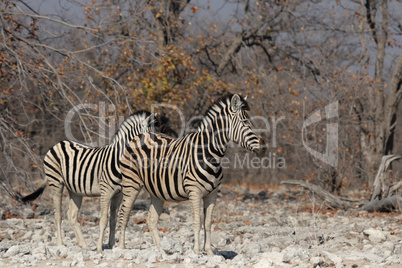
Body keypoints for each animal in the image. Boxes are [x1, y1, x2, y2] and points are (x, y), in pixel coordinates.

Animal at [21, 110, 171, 252]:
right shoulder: (106, 191)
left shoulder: (118, 194)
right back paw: (60, 244)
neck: (119, 161)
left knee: (71, 215)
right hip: (56, 182)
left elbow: (113, 220)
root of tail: (60, 143)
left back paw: (83, 244)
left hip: (75, 190)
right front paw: (100, 248)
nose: (162, 153)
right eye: (152, 137)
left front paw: (111, 245)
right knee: (58, 214)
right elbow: (103, 220)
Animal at [118, 94, 266, 255]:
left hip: (156, 190)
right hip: (131, 183)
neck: (210, 155)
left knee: (151, 219)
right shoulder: (194, 192)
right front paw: (196, 251)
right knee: (124, 214)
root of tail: (140, 135)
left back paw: (160, 250)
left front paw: (209, 252)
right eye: (246, 123)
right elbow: (197, 222)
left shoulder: (212, 194)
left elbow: (208, 223)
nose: (264, 147)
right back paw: (121, 248)